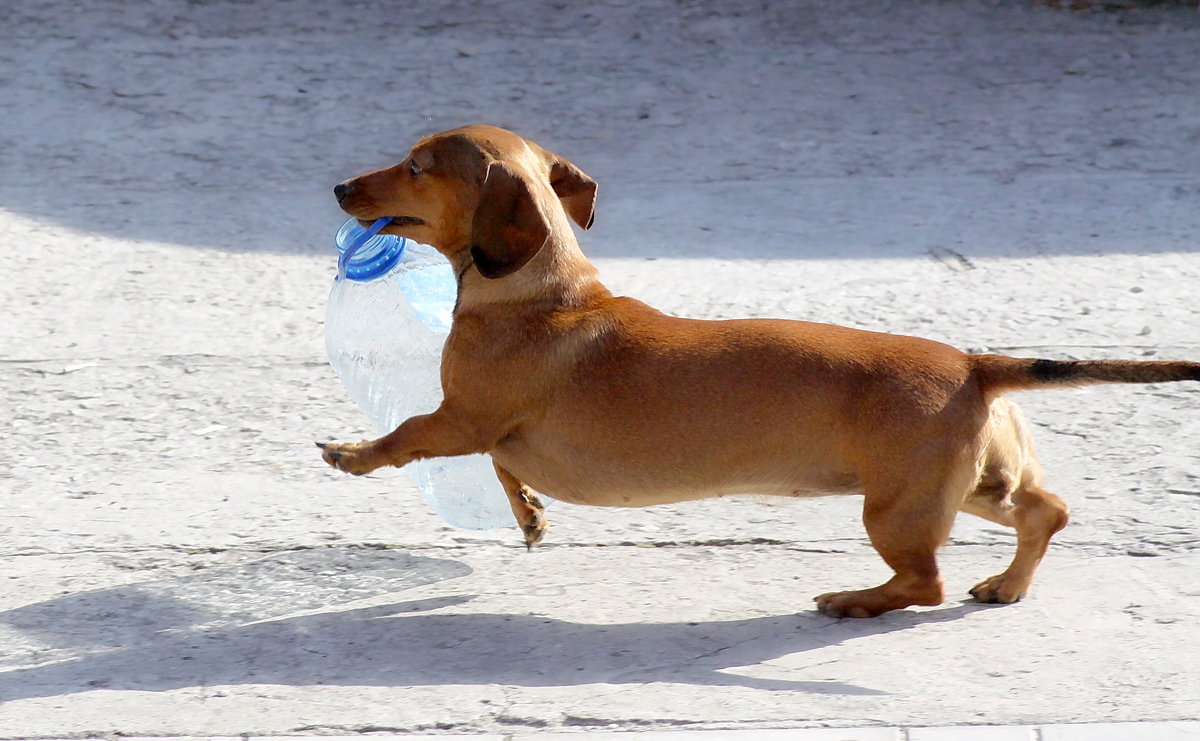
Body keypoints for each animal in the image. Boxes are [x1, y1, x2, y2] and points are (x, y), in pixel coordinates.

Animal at [319, 124, 1200, 613]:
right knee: (1043, 511)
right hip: (966, 483)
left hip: (895, 509)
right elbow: (506, 469)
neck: (542, 292)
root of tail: (973, 364)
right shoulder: (484, 429)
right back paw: (1008, 585)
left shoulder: (459, 418)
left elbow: (406, 434)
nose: (338, 186)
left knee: (925, 582)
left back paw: (855, 600)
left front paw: (352, 454)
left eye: (418, 165)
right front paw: (531, 514)